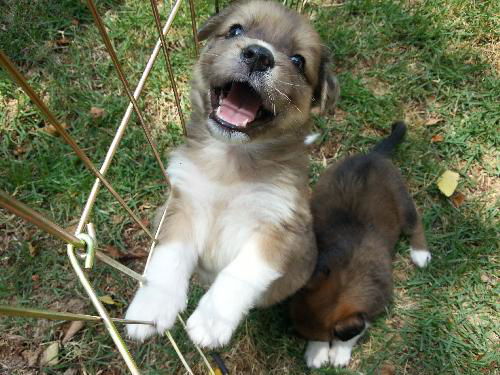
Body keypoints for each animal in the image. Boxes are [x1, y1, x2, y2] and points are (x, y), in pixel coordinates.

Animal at [125, 1, 338, 352]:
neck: (229, 162)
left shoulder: (279, 227)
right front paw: (151, 306)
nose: (259, 55)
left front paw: (211, 322)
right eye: (236, 30)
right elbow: (167, 257)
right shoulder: (182, 204)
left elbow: (241, 272)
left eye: (298, 60)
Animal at [292, 122, 432, 368]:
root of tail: (373, 155)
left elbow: (352, 334)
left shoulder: (371, 308)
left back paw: (420, 253)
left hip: (403, 202)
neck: (345, 279)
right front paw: (317, 352)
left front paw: (338, 353)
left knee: (416, 224)